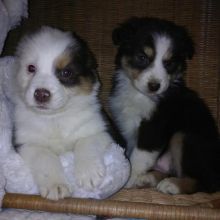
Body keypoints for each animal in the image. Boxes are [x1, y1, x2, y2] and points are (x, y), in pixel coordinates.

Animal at [13, 26, 117, 200]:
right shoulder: (26, 143)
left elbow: (86, 141)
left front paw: (88, 173)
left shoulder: (103, 130)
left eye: (66, 73)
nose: (41, 94)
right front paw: (56, 185)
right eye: (31, 68)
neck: (55, 118)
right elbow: (45, 156)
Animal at [109, 17, 220, 194]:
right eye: (142, 57)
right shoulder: (125, 123)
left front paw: (129, 178)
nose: (154, 86)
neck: (140, 95)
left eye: (169, 63)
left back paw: (172, 185)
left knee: (208, 183)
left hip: (186, 136)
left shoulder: (155, 125)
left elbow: (140, 155)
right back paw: (148, 179)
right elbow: (130, 151)